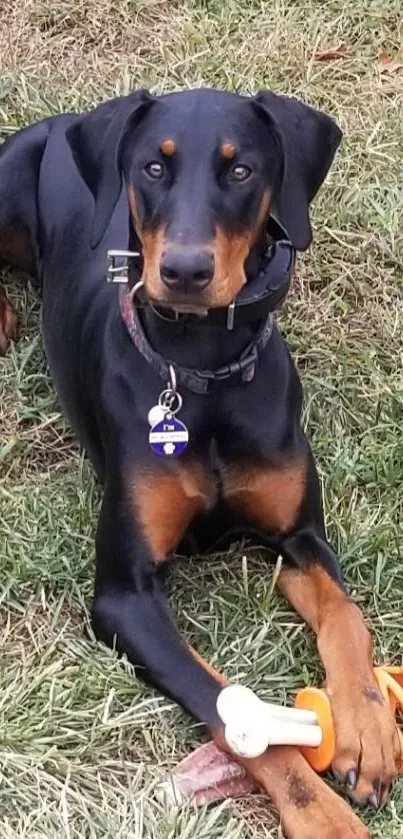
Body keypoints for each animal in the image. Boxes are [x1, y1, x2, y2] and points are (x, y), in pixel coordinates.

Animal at [0, 88, 400, 836]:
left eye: (240, 170)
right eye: (152, 168)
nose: (185, 271)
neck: (202, 369)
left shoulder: (300, 539)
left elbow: (343, 611)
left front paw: (366, 727)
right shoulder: (124, 597)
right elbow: (235, 713)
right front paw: (323, 815)